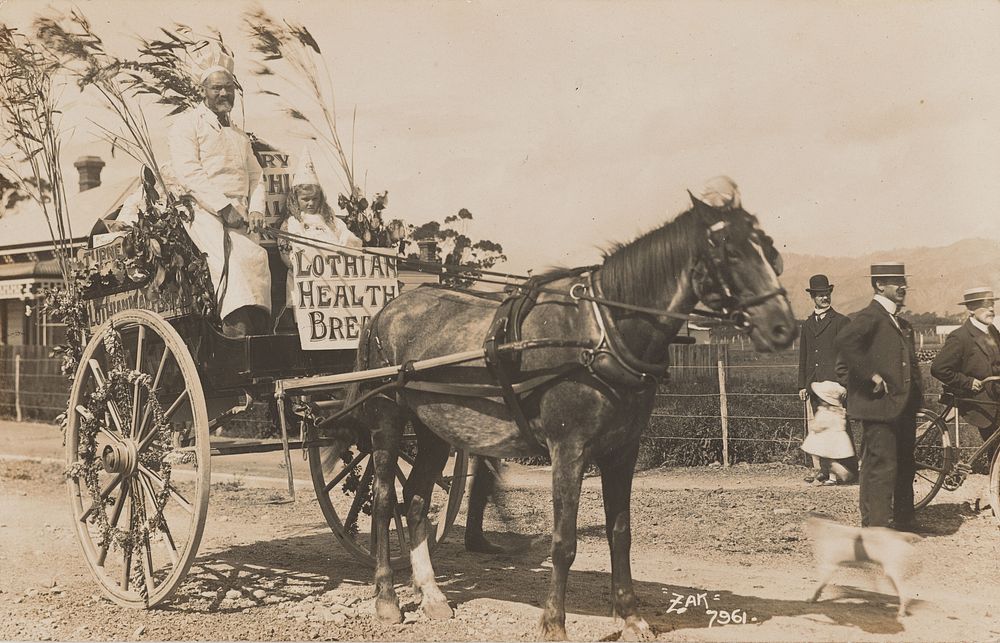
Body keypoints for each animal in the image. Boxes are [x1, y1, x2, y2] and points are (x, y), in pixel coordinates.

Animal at [348, 192, 792, 640]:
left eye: (770, 250)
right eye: (730, 252)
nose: (783, 327)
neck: (600, 333)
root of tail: (385, 311)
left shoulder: (623, 451)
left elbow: (620, 533)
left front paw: (630, 615)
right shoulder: (569, 449)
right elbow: (564, 542)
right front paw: (554, 622)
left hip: (435, 427)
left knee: (415, 499)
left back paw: (432, 594)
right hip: (387, 417)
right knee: (384, 500)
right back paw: (386, 598)